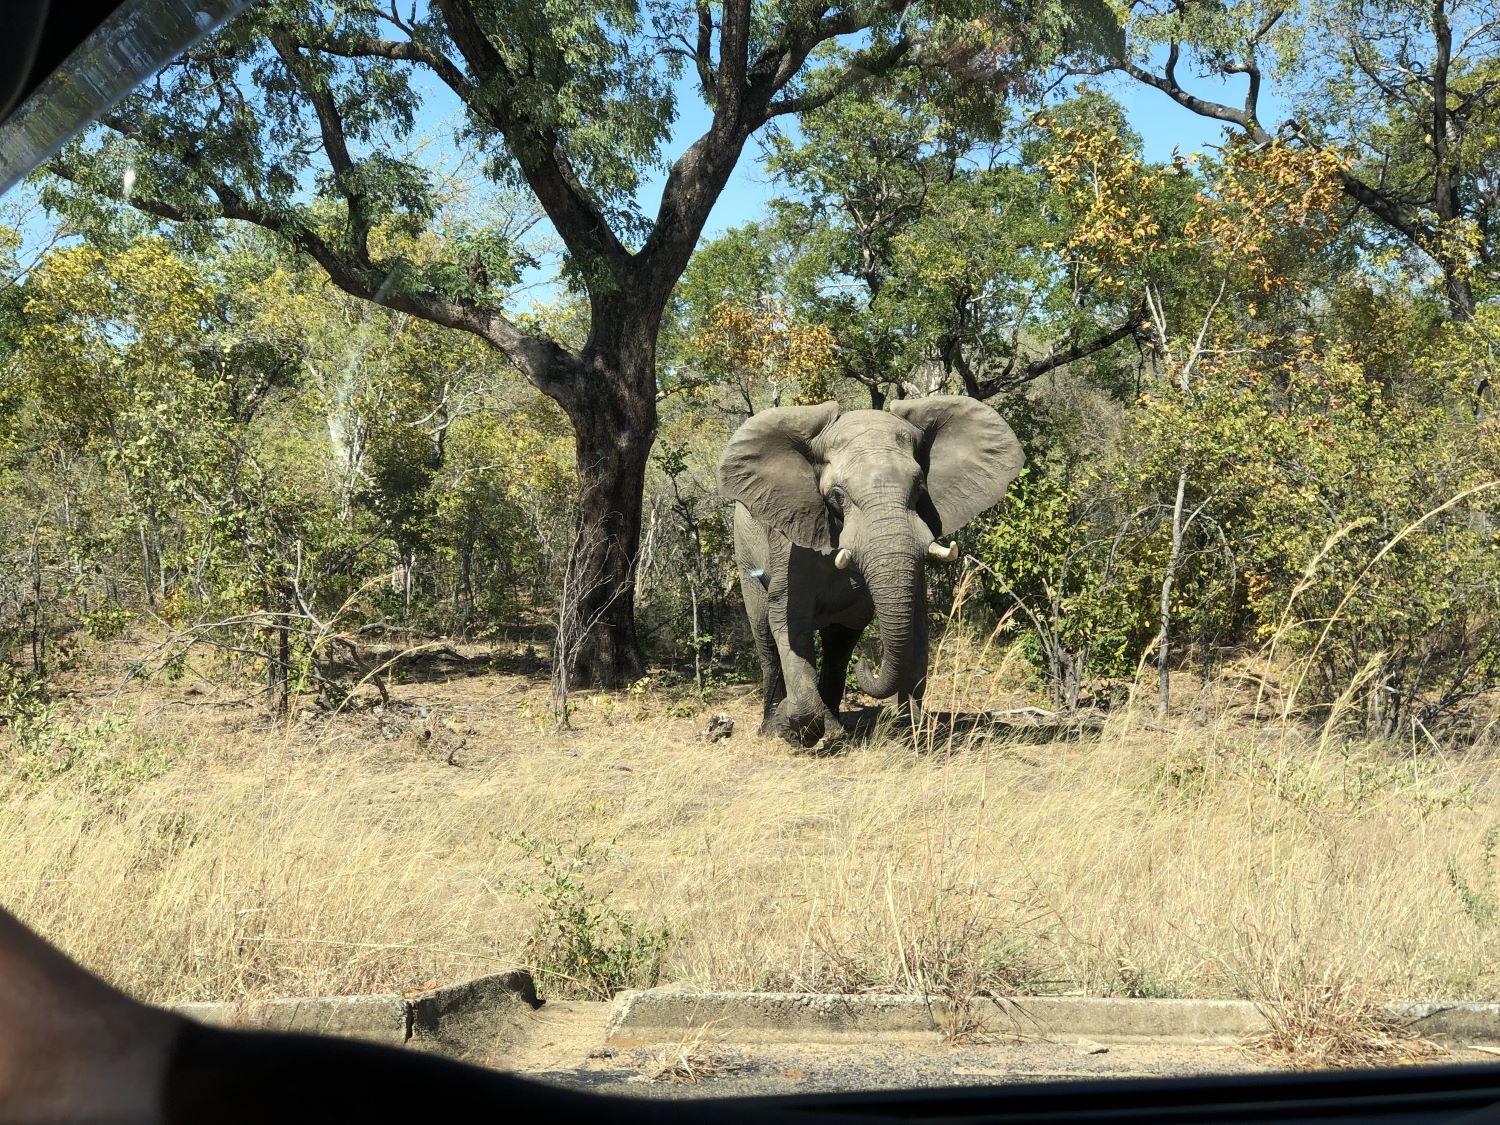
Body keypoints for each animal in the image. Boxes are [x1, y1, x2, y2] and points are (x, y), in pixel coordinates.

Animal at [717, 396, 1026, 750]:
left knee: (839, 645)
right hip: (744, 548)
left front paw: (907, 731)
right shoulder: (791, 543)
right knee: (766, 640)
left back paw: (836, 728)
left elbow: (916, 622)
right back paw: (772, 728)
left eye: (920, 489)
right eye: (837, 496)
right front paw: (792, 729)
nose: (868, 664)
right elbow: (787, 618)